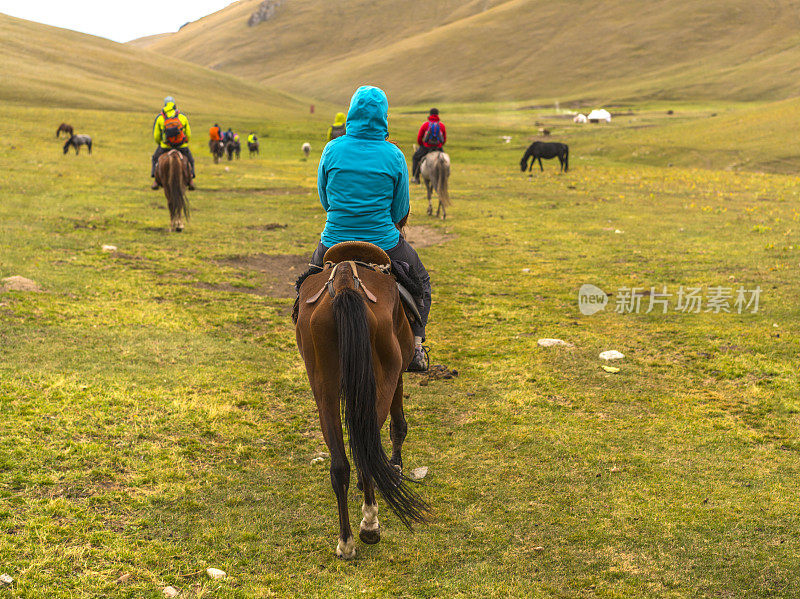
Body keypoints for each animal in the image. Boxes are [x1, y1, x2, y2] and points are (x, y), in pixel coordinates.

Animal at [296, 241, 432, 560]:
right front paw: (395, 468)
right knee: (368, 446)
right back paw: (370, 524)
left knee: (339, 465)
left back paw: (346, 542)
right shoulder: (397, 377)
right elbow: (398, 426)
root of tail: (346, 279)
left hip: (323, 388)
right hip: (382, 377)